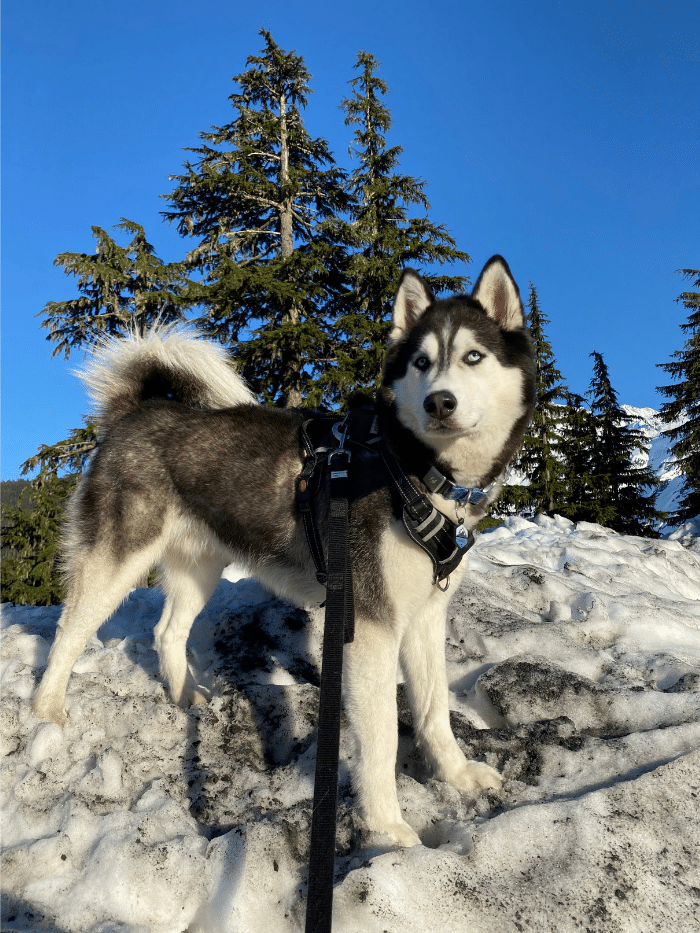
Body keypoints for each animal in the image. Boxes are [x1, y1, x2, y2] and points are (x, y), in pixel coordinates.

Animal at [32, 253, 536, 844]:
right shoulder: (369, 625)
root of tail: (136, 412)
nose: (440, 402)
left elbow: (435, 711)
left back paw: (185, 698)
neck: (412, 470)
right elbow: (381, 738)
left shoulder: (424, 617)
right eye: (421, 362)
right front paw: (387, 827)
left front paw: (456, 775)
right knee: (69, 632)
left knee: (167, 631)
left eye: (473, 356)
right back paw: (46, 713)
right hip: (115, 559)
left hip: (200, 566)